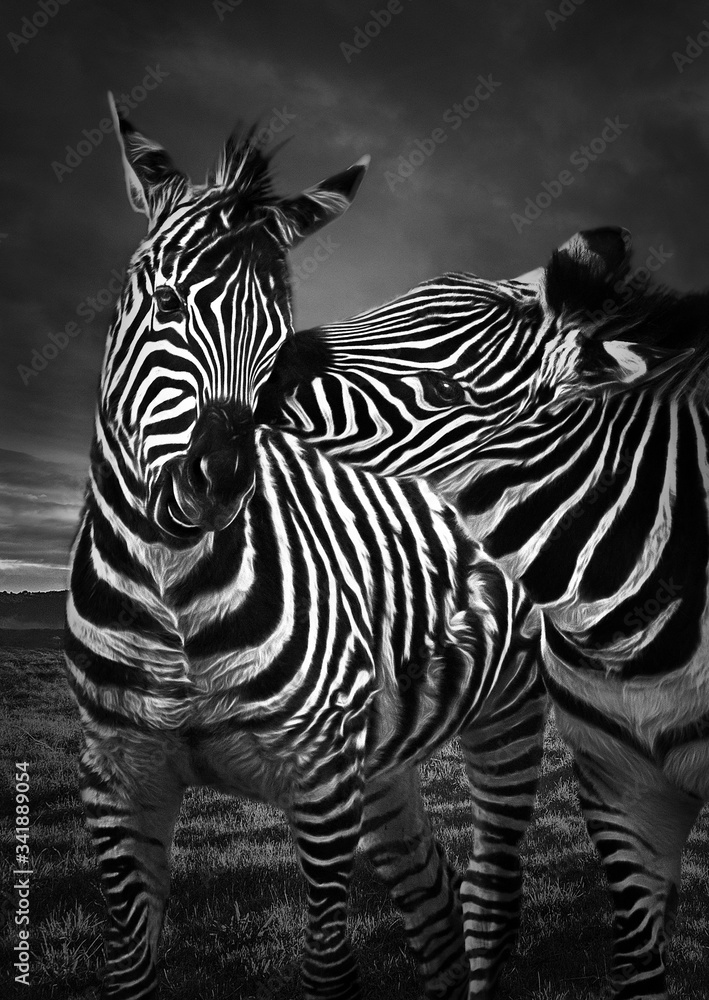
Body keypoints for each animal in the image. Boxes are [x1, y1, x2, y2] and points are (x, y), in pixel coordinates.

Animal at [65, 97, 547, 1000]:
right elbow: (127, 968)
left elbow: (328, 964)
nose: (218, 480)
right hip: (385, 749)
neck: (171, 581)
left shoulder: (321, 776)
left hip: (511, 706)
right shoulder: (115, 771)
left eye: (278, 338)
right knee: (433, 896)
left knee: (489, 898)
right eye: (167, 304)